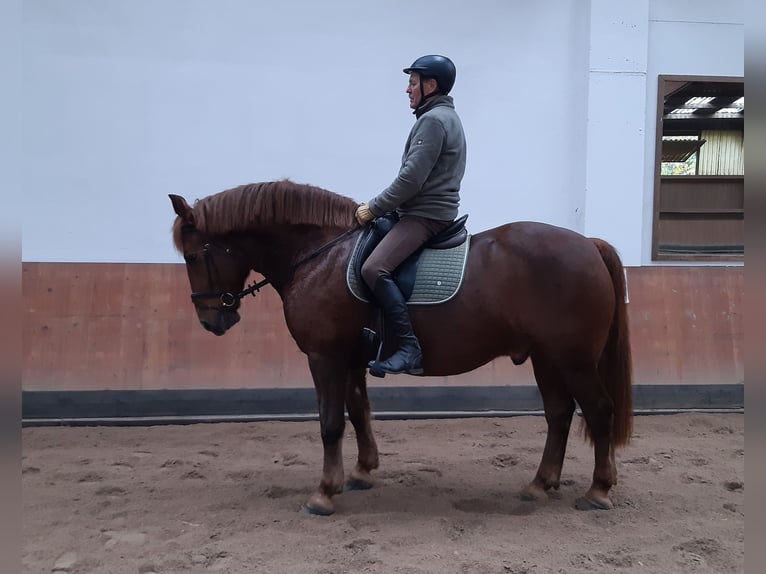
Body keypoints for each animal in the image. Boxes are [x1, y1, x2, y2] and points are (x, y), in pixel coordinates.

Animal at [171, 180, 632, 516]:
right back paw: (539, 484)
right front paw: (361, 472)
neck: (320, 257)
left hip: (574, 360)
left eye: (192, 256)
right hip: (547, 358)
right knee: (559, 413)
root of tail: (589, 244)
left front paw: (324, 493)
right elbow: (358, 412)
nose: (212, 321)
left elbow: (330, 423)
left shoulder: (325, 357)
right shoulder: (351, 359)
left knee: (598, 411)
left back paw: (597, 491)